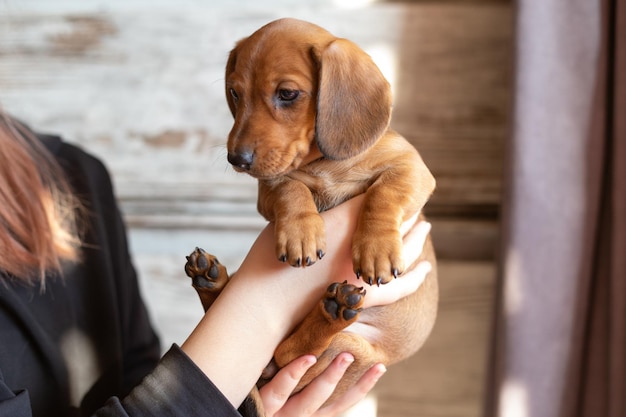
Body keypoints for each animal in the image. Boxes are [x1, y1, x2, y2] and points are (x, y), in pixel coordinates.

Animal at [185, 17, 436, 414]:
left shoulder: (412, 169)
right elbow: (291, 188)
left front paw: (377, 248)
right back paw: (212, 280)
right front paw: (301, 233)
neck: (323, 163)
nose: (236, 159)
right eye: (235, 93)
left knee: (289, 354)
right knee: (283, 354)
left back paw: (331, 307)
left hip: (352, 347)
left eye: (287, 93)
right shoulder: (270, 186)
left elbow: (383, 194)